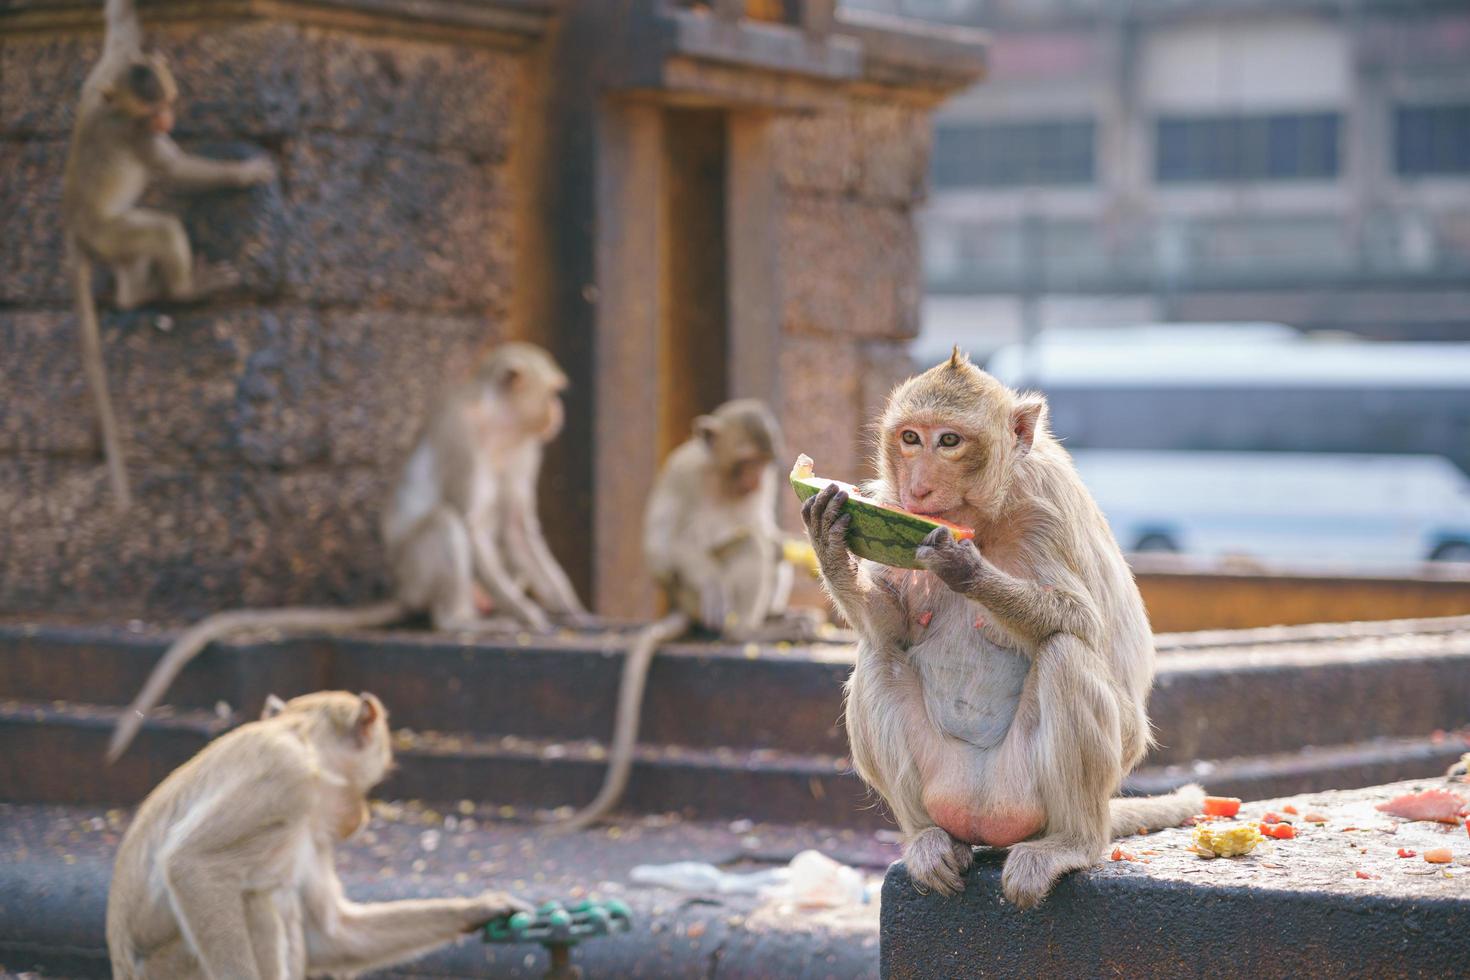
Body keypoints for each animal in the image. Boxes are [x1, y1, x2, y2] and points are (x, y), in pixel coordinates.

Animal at [61, 0, 277, 511]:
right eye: (155, 111)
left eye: (170, 104)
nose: (167, 123)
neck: (112, 101)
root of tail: (76, 230)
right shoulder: (136, 136)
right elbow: (175, 171)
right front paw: (241, 174)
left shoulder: (107, 66)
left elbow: (118, 29)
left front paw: (125, 9)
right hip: (108, 233)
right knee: (160, 229)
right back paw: (184, 290)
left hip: (110, 243)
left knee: (136, 258)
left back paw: (133, 296)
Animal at [106, 340, 588, 764]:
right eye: (553, 392)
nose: (560, 411)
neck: (499, 425)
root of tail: (404, 589)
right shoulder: (461, 435)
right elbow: (469, 524)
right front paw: (530, 616)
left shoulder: (527, 446)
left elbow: (518, 528)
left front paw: (574, 612)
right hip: (418, 570)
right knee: (444, 523)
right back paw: (464, 620)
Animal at [108, 690, 535, 980]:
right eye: (369, 785)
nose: (361, 816)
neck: (301, 737)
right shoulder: (288, 775)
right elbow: (192, 866)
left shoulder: (314, 832)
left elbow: (333, 936)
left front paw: (482, 908)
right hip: (169, 967)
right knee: (258, 898)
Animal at [805, 348, 1205, 910]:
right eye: (911, 438)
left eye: (949, 441)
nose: (918, 487)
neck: (986, 516)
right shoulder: (891, 501)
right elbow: (891, 625)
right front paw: (828, 541)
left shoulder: (1047, 504)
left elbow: (1082, 621)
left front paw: (964, 568)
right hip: (944, 783)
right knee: (878, 654)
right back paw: (926, 840)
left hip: (1034, 791)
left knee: (1065, 654)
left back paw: (1072, 844)